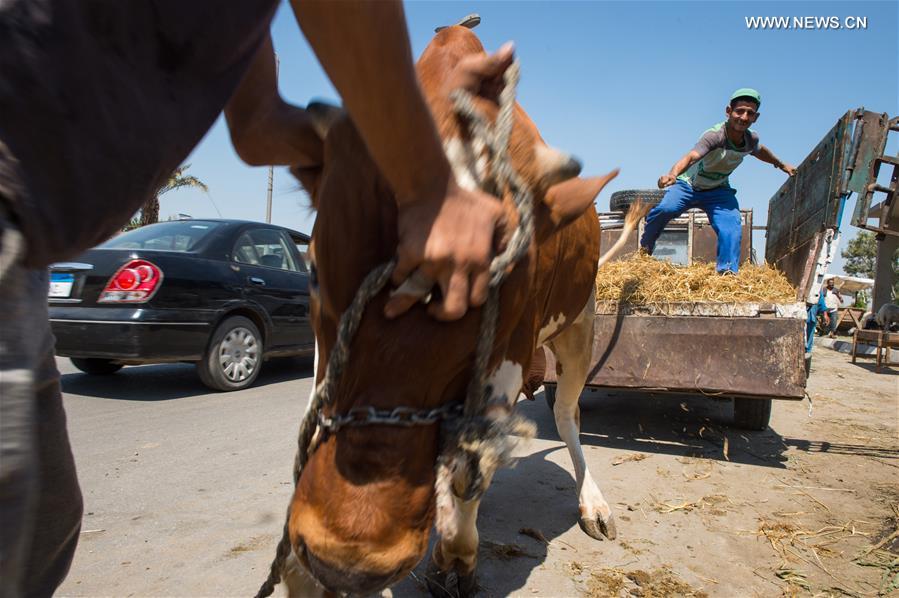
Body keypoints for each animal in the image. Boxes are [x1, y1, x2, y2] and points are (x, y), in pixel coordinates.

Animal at [278, 25, 636, 596]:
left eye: (504, 288)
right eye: (313, 272)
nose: (345, 559)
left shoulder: (510, 348)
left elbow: (471, 466)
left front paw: (456, 559)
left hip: (579, 327)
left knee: (566, 414)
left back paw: (592, 502)